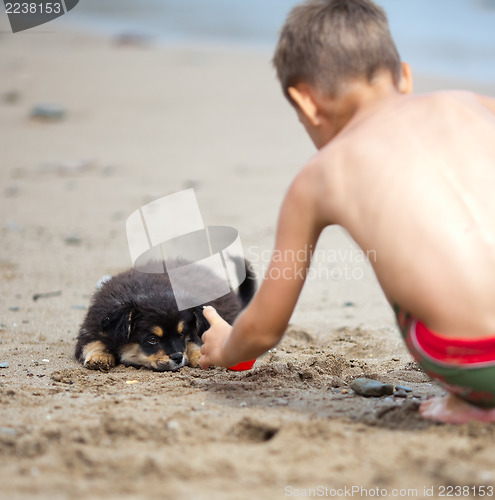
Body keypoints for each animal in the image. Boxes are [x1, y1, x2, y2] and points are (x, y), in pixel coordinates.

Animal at [76, 262, 260, 372]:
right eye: (152, 339)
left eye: (181, 333)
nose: (178, 358)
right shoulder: (91, 328)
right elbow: (93, 343)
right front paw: (99, 358)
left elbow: (193, 342)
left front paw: (199, 355)